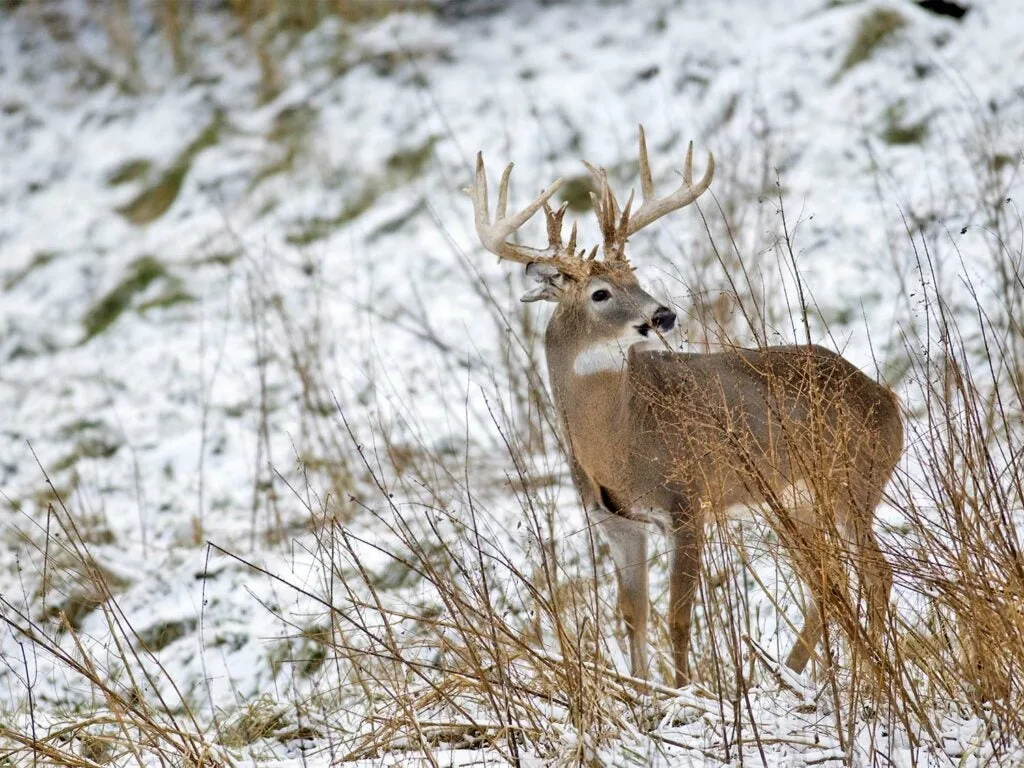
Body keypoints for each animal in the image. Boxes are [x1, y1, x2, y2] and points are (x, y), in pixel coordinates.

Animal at [466, 126, 905, 684]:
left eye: (636, 278)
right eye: (601, 293)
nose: (664, 315)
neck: (620, 440)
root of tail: (888, 399)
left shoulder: (689, 500)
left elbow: (677, 617)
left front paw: (688, 692)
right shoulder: (614, 521)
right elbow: (632, 613)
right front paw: (643, 690)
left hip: (853, 480)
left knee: (875, 571)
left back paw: (868, 674)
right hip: (796, 501)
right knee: (828, 584)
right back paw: (792, 674)